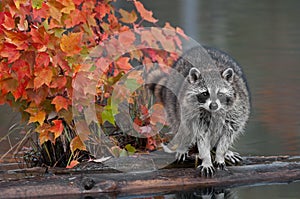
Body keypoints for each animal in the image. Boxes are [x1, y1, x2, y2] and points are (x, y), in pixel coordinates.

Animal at [146, 45, 250, 176]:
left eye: (220, 94)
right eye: (205, 93)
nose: (214, 105)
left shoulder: (235, 111)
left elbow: (227, 133)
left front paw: (221, 154)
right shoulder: (196, 115)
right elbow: (201, 136)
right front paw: (206, 159)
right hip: (174, 104)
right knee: (181, 126)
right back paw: (183, 145)